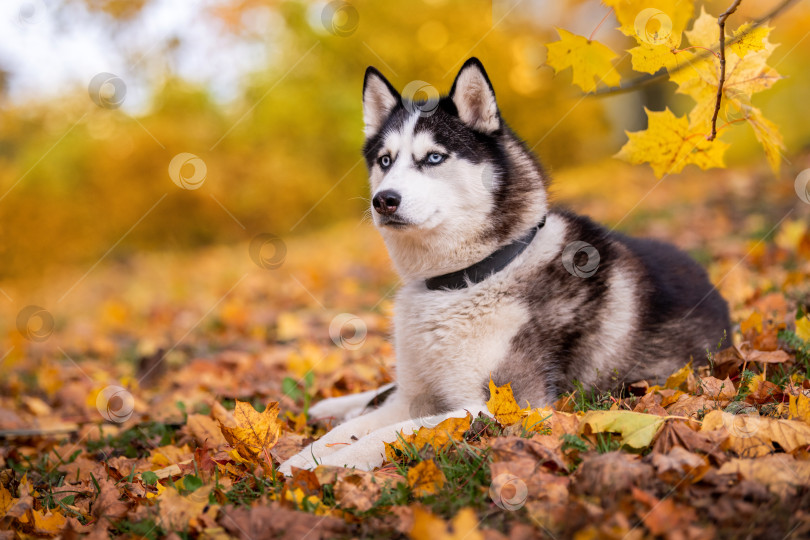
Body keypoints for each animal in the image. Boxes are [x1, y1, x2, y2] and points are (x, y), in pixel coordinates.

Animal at [276, 57, 724, 474]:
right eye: (385, 161)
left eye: (433, 158)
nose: (383, 200)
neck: (467, 279)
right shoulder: (413, 395)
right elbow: (350, 429)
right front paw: (301, 457)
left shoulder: (502, 405)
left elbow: (386, 435)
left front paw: (317, 466)